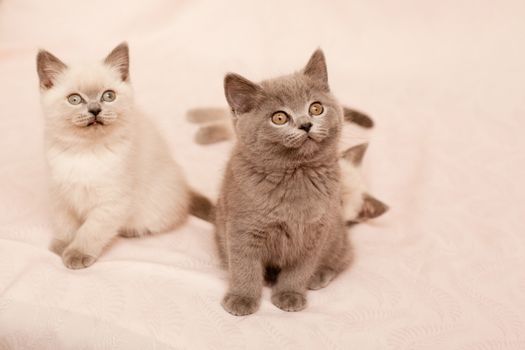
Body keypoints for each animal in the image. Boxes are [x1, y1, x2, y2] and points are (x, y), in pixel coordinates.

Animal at [36, 42, 213, 270]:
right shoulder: (60, 194)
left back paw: (131, 230)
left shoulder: (111, 202)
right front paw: (62, 245)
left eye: (108, 96)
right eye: (74, 99)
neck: (85, 151)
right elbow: (64, 224)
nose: (95, 110)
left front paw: (76, 253)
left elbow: (91, 230)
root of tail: (185, 188)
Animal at [214, 49, 352, 314]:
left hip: (337, 231)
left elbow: (300, 269)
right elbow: (244, 266)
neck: (295, 174)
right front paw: (242, 298)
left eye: (316, 108)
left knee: (344, 256)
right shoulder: (242, 228)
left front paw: (290, 294)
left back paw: (319, 276)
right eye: (279, 117)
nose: (306, 124)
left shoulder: (315, 231)